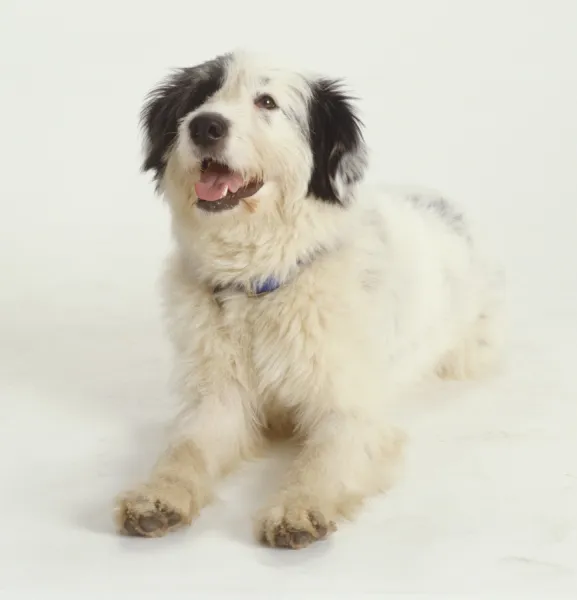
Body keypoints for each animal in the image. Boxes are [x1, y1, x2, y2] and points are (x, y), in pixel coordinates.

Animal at [115, 50, 502, 548]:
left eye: (266, 101)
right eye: (200, 96)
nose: (205, 126)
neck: (259, 284)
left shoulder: (350, 410)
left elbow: (323, 460)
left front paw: (297, 508)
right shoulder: (218, 400)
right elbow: (185, 450)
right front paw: (158, 497)